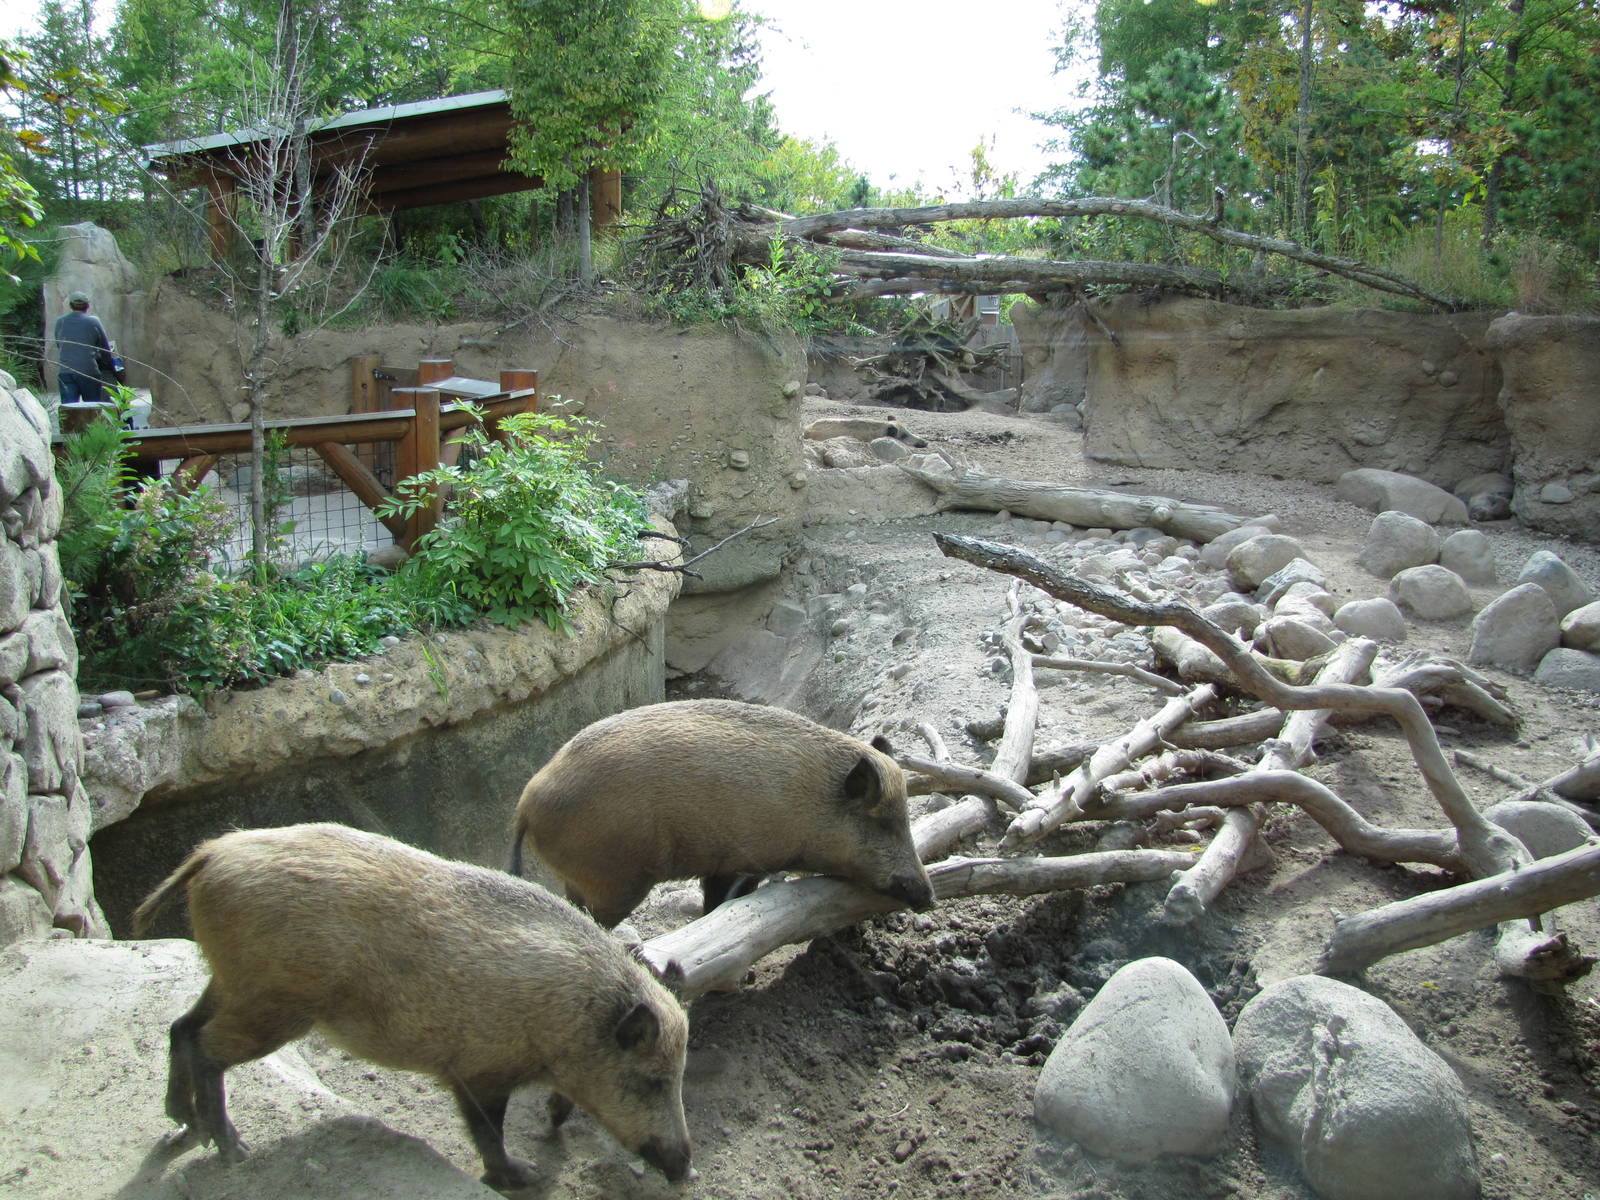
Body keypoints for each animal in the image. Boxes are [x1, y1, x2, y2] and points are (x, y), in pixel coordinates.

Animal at [132, 822, 691, 1190]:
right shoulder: (478, 1069)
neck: (573, 1018)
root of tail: (209, 854)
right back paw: (232, 1150)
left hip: (232, 983)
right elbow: (488, 1131)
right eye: (653, 1081)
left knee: (181, 1027)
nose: (687, 1169)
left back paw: (183, 1123)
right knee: (206, 1047)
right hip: (273, 1002)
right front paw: (526, 1176)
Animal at [510, 699, 936, 928]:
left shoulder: (720, 864)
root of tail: (526, 803)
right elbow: (723, 903)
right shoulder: (743, 858)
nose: (929, 897)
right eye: (883, 822)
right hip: (613, 880)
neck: (809, 803)